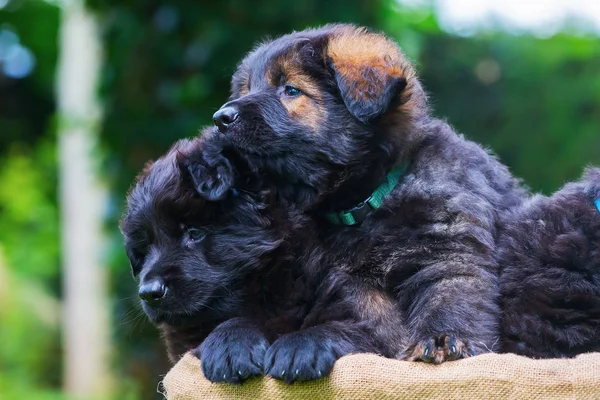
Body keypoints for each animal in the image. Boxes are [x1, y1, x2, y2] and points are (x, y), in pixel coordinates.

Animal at [120, 134, 408, 384]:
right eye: (145, 248)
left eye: (194, 232)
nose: (149, 293)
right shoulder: (186, 345)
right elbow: (225, 324)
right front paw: (230, 347)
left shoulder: (372, 317)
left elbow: (347, 329)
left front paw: (298, 348)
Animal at [207, 23, 528, 364]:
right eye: (247, 90)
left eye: (291, 90)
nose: (220, 119)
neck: (371, 200)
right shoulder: (341, 279)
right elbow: (372, 313)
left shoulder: (449, 250)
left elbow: (449, 297)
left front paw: (443, 339)